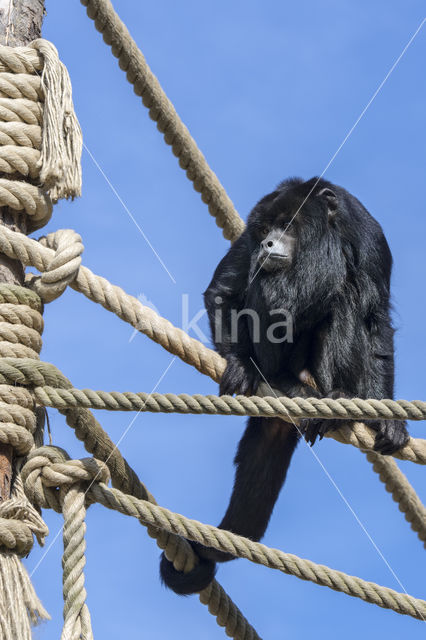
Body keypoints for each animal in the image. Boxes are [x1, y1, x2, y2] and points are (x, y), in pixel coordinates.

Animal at [160, 176, 410, 596]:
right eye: (263, 230)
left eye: (285, 226)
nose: (267, 244)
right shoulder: (246, 237)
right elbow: (224, 290)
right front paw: (240, 363)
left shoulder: (370, 239)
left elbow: (375, 318)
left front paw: (387, 419)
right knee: (267, 285)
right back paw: (279, 381)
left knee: (348, 291)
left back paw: (338, 399)